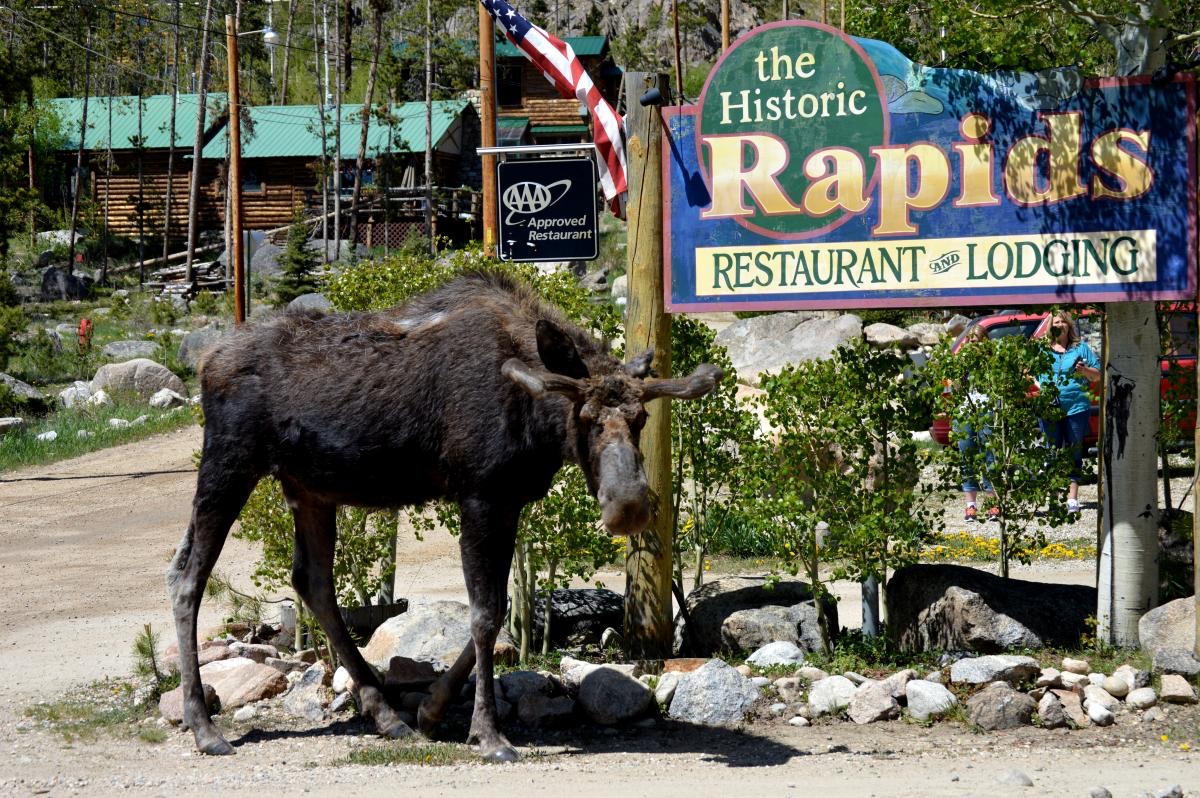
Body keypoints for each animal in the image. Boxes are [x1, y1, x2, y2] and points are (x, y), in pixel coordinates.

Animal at [168, 271, 721, 762]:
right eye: (585, 418)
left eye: (641, 418)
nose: (628, 504)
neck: (538, 422)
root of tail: (206, 362)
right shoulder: (479, 494)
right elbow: (484, 614)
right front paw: (489, 734)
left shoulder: (507, 499)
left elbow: (498, 607)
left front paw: (431, 711)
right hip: (230, 460)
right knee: (187, 574)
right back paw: (205, 727)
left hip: (310, 489)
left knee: (312, 580)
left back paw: (385, 714)